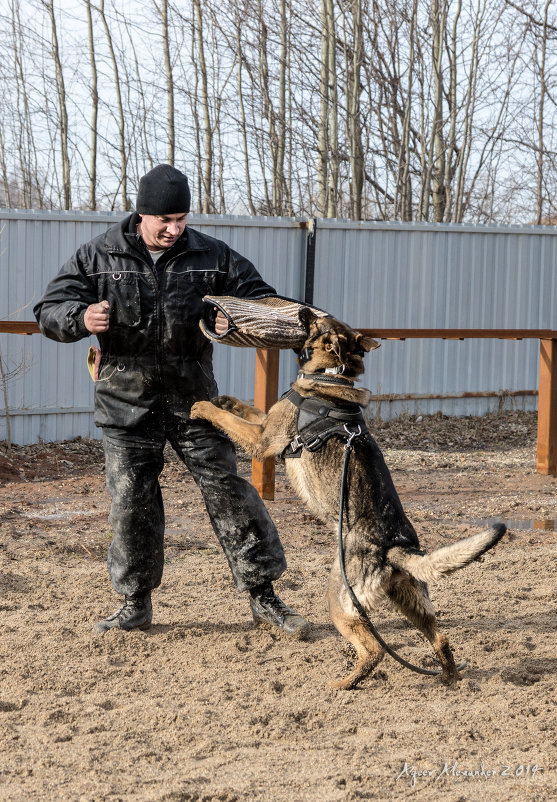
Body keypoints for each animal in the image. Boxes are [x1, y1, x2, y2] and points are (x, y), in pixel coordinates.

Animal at [190, 310, 504, 684]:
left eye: (317, 320)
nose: (302, 311)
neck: (331, 376)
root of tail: (393, 548)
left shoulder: (263, 439)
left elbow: (226, 418)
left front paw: (201, 405)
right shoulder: (267, 423)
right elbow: (246, 408)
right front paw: (225, 400)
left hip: (340, 603)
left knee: (374, 650)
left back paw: (345, 684)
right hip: (412, 604)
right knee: (440, 638)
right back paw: (449, 679)